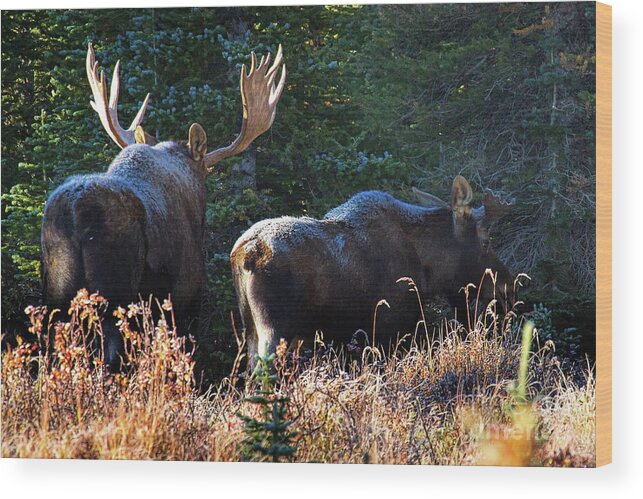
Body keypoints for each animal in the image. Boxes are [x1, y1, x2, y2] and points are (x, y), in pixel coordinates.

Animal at [231, 177, 512, 368]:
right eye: (486, 241)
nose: (508, 287)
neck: (426, 271)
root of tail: (245, 254)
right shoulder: (390, 327)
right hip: (274, 328)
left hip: (252, 330)